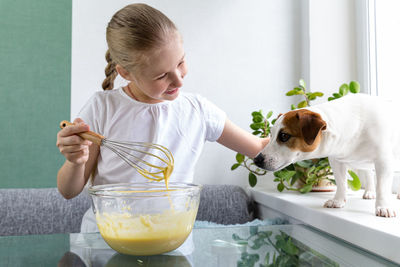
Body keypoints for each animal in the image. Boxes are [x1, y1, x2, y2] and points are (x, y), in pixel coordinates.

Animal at [255, 94, 398, 218]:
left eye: (284, 136)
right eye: (271, 135)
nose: (257, 159)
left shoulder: (384, 160)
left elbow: (382, 187)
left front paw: (383, 206)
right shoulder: (336, 161)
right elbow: (341, 183)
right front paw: (338, 200)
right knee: (368, 173)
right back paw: (370, 191)